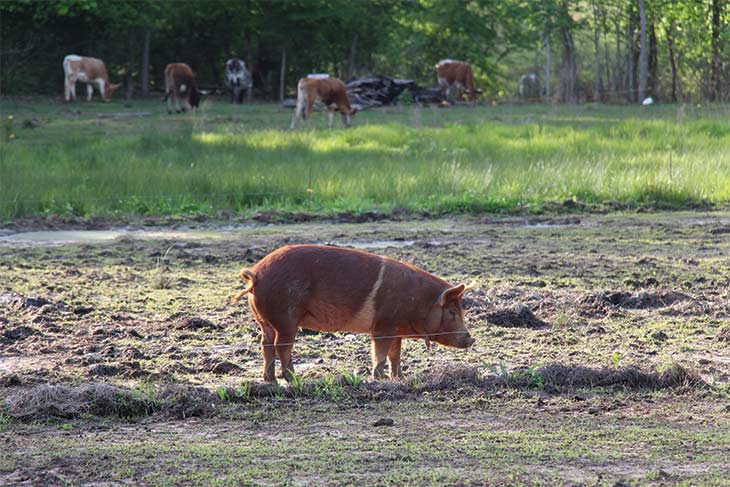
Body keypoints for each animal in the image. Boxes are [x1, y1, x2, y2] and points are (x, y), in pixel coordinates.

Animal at [230, 246, 474, 384]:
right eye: (452, 312)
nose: (471, 339)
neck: (418, 301)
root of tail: (256, 275)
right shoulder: (383, 325)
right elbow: (380, 353)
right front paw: (379, 378)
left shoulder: (395, 330)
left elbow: (395, 354)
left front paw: (400, 378)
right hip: (286, 319)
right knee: (282, 347)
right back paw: (293, 379)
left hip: (265, 322)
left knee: (265, 345)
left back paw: (270, 380)